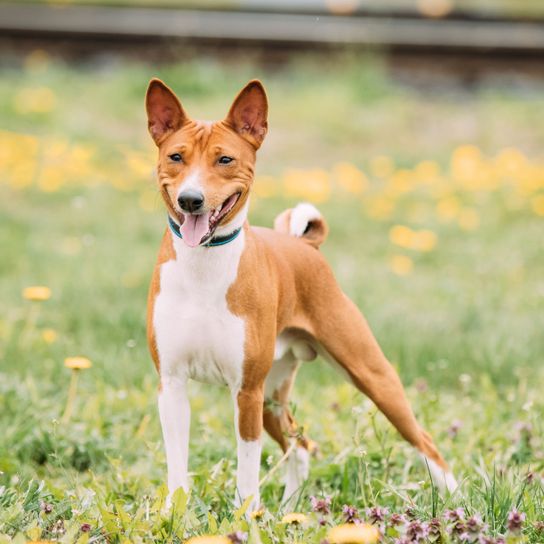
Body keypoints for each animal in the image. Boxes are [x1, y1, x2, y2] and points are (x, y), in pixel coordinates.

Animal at [146, 78, 460, 512]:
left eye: (224, 160)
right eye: (176, 156)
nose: (190, 200)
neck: (203, 267)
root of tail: (304, 245)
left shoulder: (246, 390)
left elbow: (247, 470)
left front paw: (245, 517)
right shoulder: (173, 384)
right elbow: (178, 468)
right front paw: (174, 516)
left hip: (368, 374)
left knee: (424, 440)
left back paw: (458, 501)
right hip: (273, 397)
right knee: (301, 446)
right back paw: (289, 509)